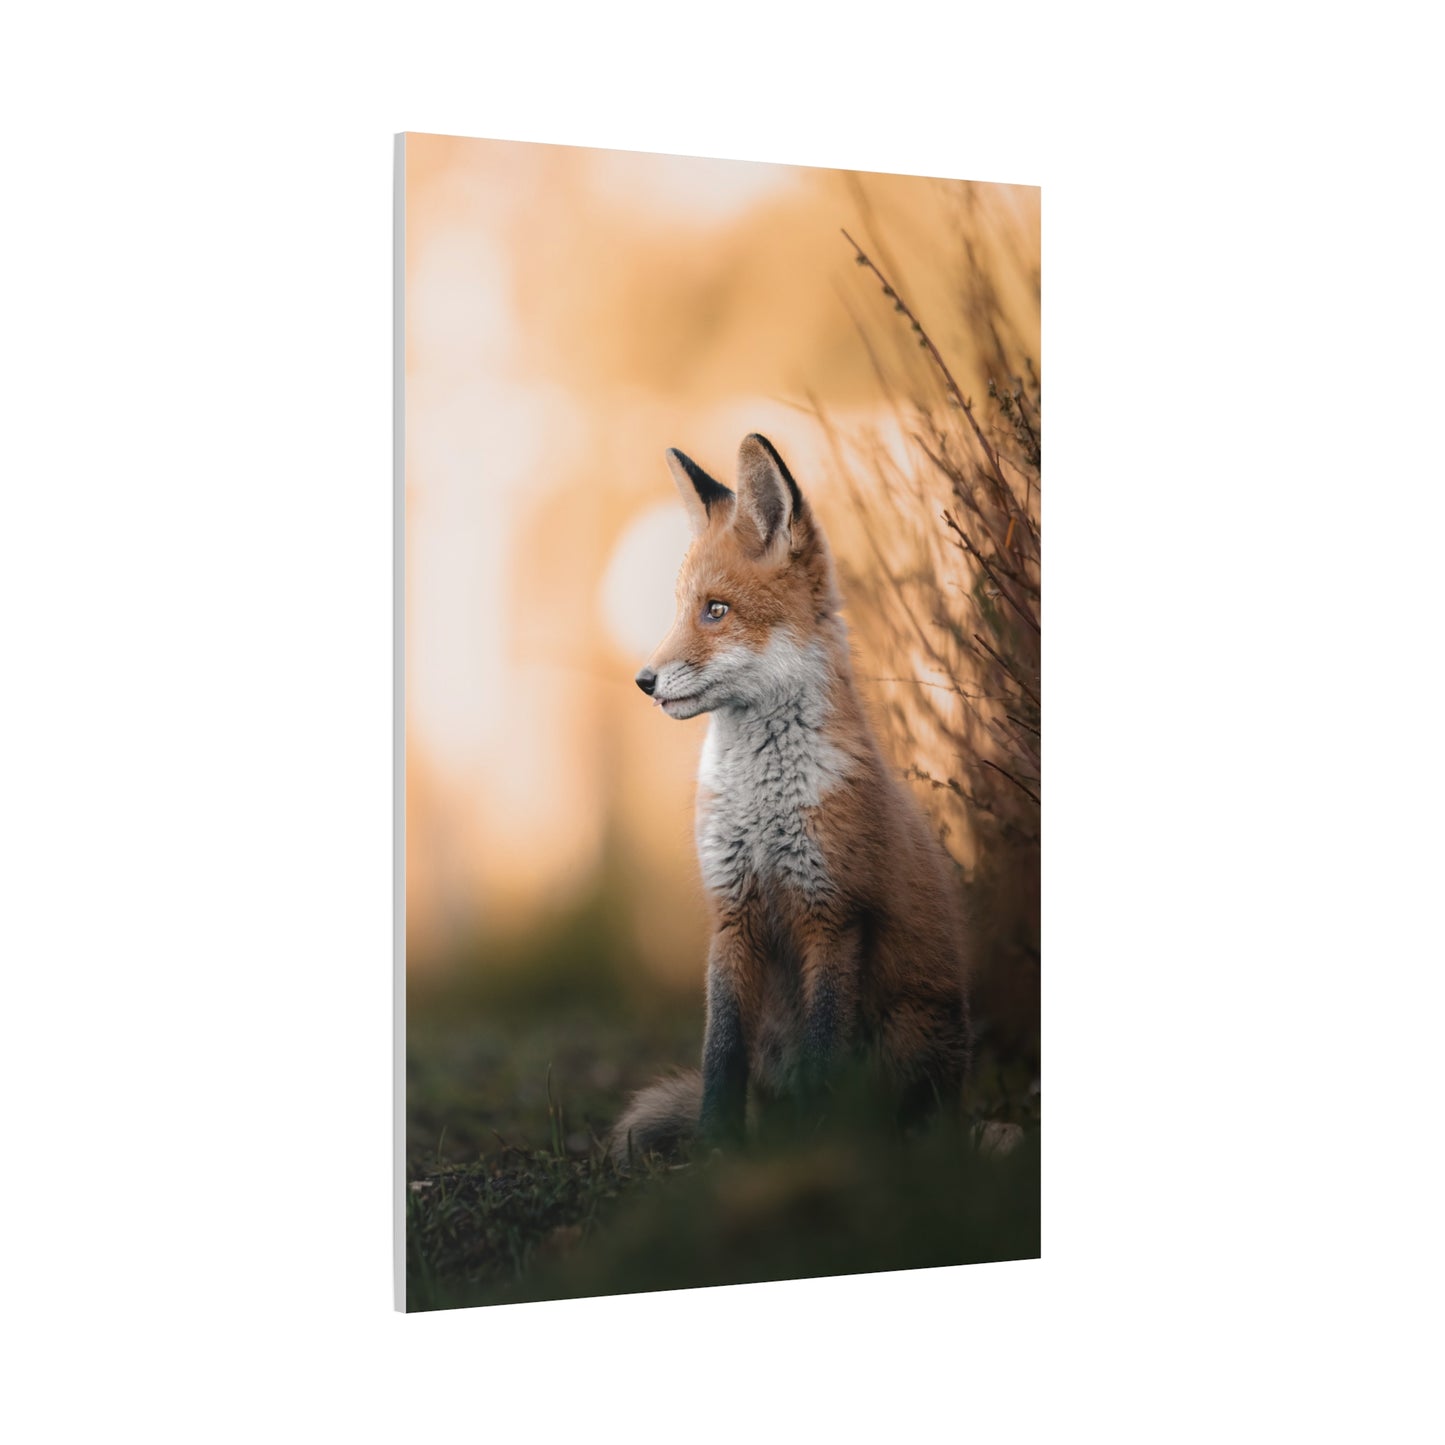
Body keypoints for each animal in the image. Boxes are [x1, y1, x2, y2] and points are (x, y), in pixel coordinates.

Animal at [610, 433, 971, 1163]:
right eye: (680, 607)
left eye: (716, 610)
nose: (643, 680)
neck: (762, 805)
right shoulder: (731, 912)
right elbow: (720, 1052)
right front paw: (717, 1147)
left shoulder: (832, 913)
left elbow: (823, 1052)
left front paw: (814, 1145)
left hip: (910, 1033)